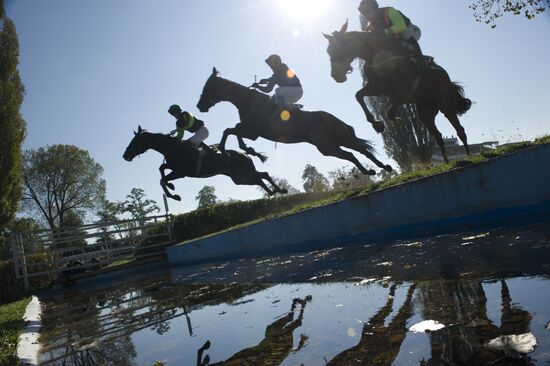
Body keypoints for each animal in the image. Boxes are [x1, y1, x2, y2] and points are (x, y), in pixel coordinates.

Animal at [122, 126, 286, 200]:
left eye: (135, 141)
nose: (125, 156)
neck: (173, 147)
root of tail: (243, 155)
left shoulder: (181, 172)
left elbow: (162, 179)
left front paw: (174, 194)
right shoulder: (174, 168)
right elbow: (161, 169)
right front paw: (172, 188)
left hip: (244, 173)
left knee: (262, 176)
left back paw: (278, 190)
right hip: (240, 178)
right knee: (261, 177)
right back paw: (274, 192)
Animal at [196, 67, 394, 176]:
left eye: (208, 88)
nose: (199, 106)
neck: (247, 101)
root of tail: (334, 119)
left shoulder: (253, 132)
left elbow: (229, 130)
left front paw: (225, 151)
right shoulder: (250, 131)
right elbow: (233, 130)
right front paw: (250, 151)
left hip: (328, 145)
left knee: (354, 153)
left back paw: (374, 169)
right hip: (335, 141)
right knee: (358, 151)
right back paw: (378, 168)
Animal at [324, 20, 474, 162]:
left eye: (342, 45)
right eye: (328, 51)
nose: (336, 75)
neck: (377, 55)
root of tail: (446, 78)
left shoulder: (404, 90)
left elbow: (390, 109)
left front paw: (391, 119)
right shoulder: (377, 88)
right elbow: (358, 95)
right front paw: (377, 124)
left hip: (446, 104)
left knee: (460, 130)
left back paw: (469, 155)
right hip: (425, 112)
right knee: (438, 135)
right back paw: (446, 161)